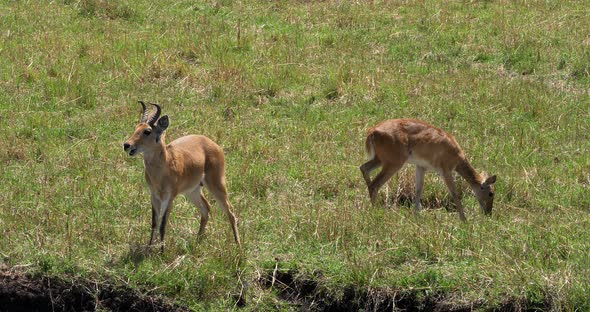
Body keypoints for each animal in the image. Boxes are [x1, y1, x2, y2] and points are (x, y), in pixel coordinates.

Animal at [123, 101, 242, 252]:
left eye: (147, 131)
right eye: (136, 128)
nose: (127, 145)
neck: (163, 169)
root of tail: (212, 143)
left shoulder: (169, 197)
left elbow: (163, 224)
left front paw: (162, 252)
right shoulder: (154, 196)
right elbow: (154, 223)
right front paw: (149, 249)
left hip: (217, 184)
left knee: (230, 211)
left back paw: (238, 246)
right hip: (193, 191)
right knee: (206, 208)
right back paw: (197, 241)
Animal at [360, 118, 500, 221]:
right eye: (491, 193)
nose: (489, 213)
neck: (457, 155)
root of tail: (372, 132)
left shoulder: (421, 167)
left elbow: (418, 190)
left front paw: (416, 215)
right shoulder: (446, 171)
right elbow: (454, 193)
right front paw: (464, 220)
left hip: (380, 160)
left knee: (364, 169)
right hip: (393, 163)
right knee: (375, 184)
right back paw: (376, 212)